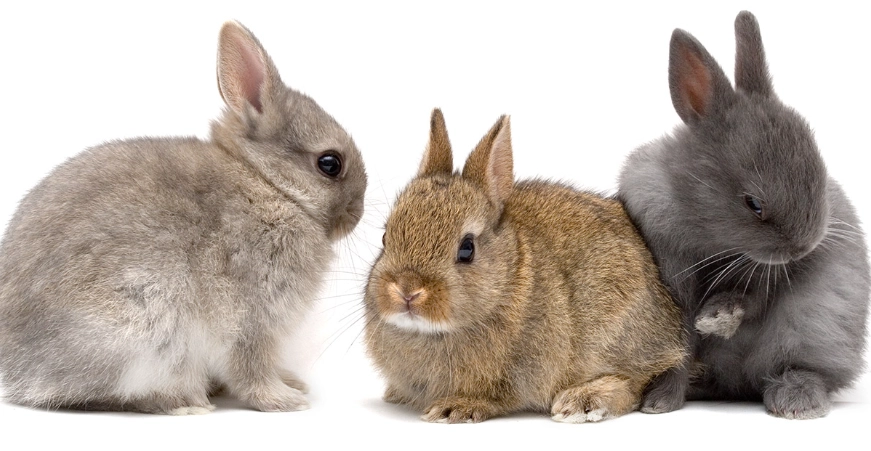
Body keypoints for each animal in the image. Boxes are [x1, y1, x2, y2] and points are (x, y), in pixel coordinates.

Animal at [0, 20, 366, 414]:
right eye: (330, 163)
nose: (357, 214)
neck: (269, 183)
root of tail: (17, 368)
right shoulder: (251, 316)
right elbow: (250, 366)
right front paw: (285, 399)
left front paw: (293, 383)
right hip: (142, 328)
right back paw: (184, 402)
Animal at [362, 109, 685, 424]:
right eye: (385, 237)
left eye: (467, 249)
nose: (407, 290)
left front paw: (455, 408)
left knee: (634, 384)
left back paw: (581, 402)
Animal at [617, 11, 869, 419]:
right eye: (754, 204)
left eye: (818, 167)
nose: (804, 247)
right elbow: (679, 346)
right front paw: (660, 403)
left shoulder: (766, 274)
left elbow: (752, 301)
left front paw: (718, 318)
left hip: (817, 325)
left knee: (805, 369)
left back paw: (796, 401)